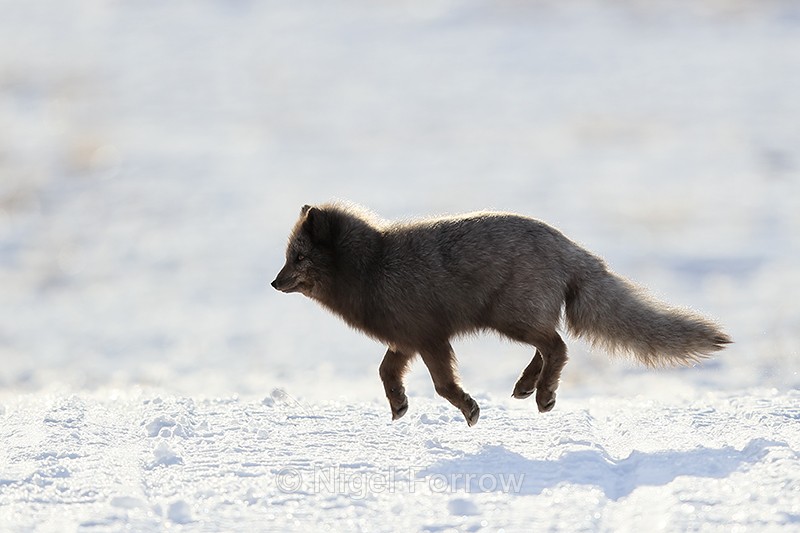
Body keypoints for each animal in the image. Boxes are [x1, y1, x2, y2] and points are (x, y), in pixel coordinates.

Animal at [272, 202, 731, 426]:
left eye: (298, 258)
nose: (274, 283)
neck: (373, 266)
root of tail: (572, 248)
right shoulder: (405, 340)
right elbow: (386, 373)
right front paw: (399, 406)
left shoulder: (430, 339)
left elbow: (442, 386)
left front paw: (469, 409)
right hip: (518, 320)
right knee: (549, 349)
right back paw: (528, 387)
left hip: (511, 319)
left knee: (558, 347)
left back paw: (542, 395)